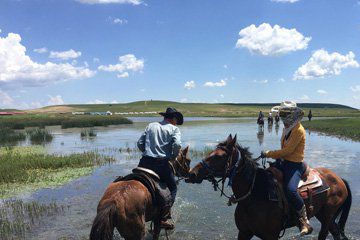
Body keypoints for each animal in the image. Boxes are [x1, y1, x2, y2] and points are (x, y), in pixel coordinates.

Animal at [186, 135, 352, 240]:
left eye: (219, 156)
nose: (192, 173)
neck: (254, 195)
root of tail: (339, 179)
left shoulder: (271, 236)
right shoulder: (244, 232)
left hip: (327, 216)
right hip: (324, 215)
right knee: (336, 233)